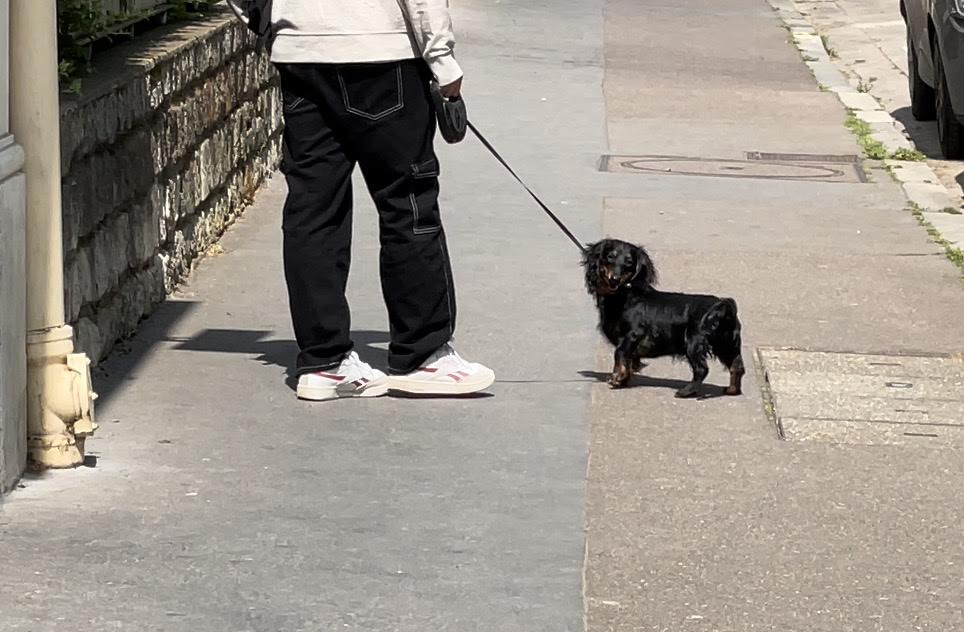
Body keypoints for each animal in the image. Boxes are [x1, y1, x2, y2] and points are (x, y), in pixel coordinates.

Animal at [580, 239, 744, 398]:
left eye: (629, 262)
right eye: (610, 256)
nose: (615, 279)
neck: (624, 295)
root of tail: (723, 306)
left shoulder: (633, 334)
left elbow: (619, 353)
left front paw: (616, 377)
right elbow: (629, 359)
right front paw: (623, 379)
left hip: (694, 343)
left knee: (701, 369)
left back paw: (686, 392)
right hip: (727, 344)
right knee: (737, 366)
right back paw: (732, 390)